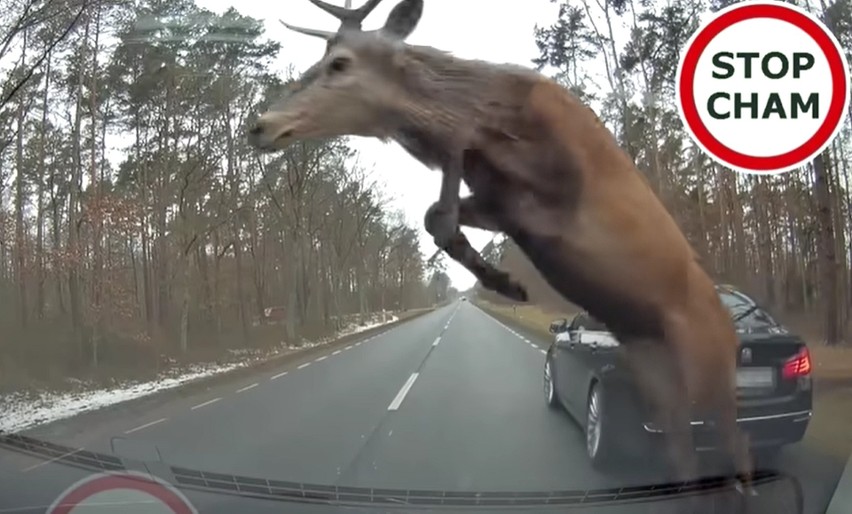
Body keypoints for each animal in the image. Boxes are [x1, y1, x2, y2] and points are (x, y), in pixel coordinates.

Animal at [246, 0, 752, 500]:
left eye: (339, 62)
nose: (259, 126)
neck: (496, 115)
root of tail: (734, 332)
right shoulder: (496, 200)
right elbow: (436, 214)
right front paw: (499, 280)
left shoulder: (553, 189)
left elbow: (449, 184)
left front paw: (504, 282)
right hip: (658, 376)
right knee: (683, 452)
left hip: (708, 364)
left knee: (733, 451)